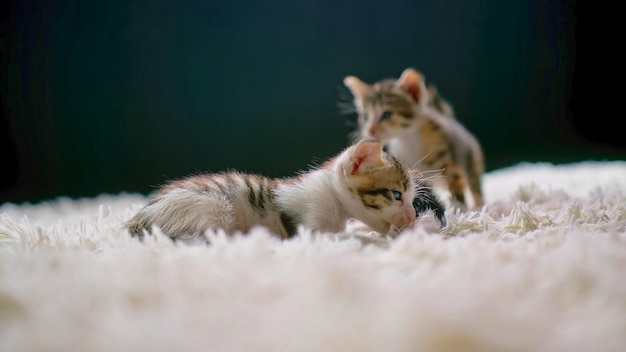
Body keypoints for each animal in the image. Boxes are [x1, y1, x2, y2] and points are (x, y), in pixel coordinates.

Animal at [124, 139, 422, 241]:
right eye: (396, 195)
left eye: (411, 200)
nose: (411, 217)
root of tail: (139, 218)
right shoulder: (310, 223)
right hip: (214, 208)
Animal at [342, 69, 482, 209]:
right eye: (365, 117)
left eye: (387, 114)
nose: (370, 130)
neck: (408, 139)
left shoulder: (447, 156)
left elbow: (456, 184)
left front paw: (460, 208)